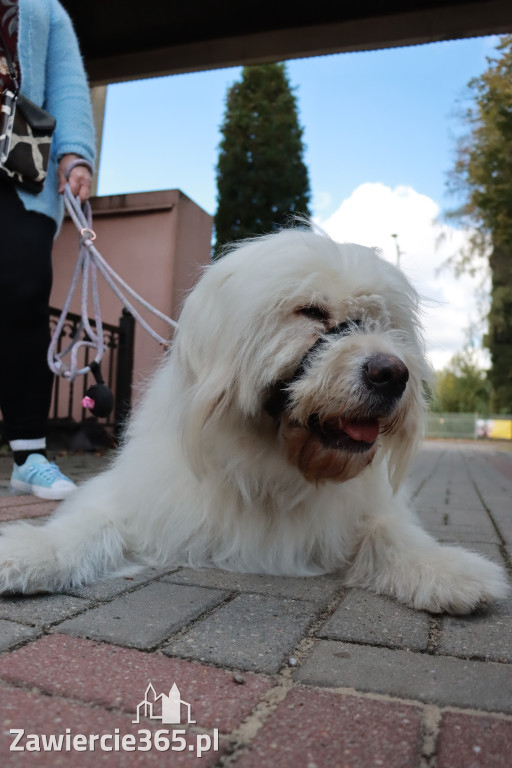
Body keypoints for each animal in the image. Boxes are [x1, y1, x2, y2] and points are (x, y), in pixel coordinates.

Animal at [0, 226, 508, 612]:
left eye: (381, 323)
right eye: (311, 311)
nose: (393, 374)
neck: (273, 469)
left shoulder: (366, 512)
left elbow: (393, 534)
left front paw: (449, 569)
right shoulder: (138, 498)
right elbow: (84, 527)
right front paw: (29, 553)